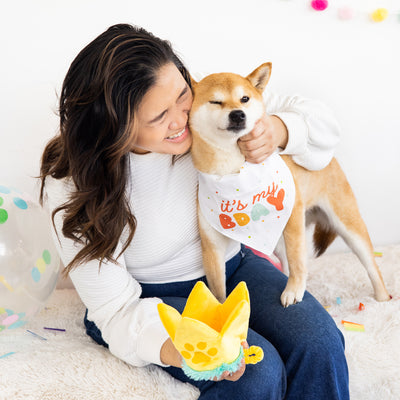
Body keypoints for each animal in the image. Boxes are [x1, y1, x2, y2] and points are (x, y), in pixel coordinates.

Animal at [189, 63, 390, 306]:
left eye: (244, 98)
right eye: (216, 101)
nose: (238, 114)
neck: (233, 171)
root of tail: (329, 158)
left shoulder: (292, 215)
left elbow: (297, 260)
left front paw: (293, 290)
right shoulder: (212, 246)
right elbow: (217, 292)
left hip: (347, 226)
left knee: (372, 267)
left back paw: (382, 299)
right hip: (278, 240)